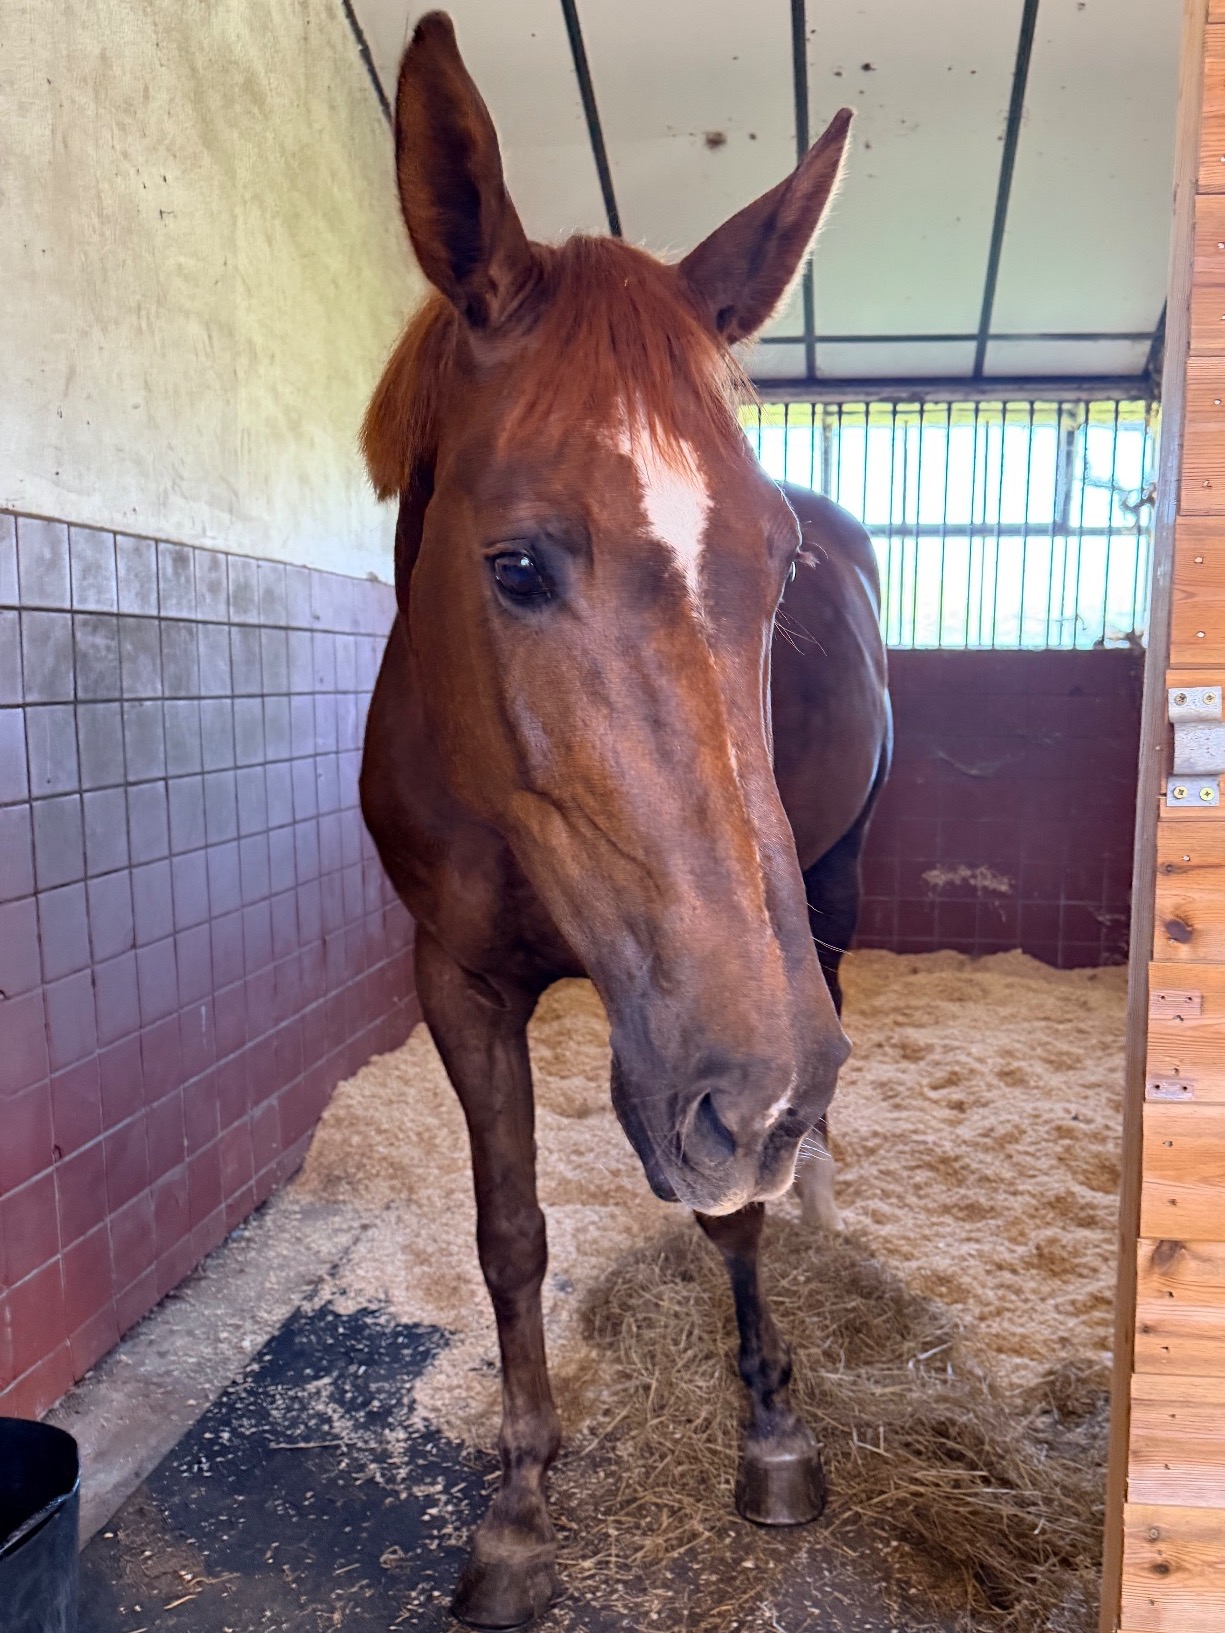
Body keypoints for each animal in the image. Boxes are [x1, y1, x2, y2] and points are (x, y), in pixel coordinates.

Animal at [358, 14, 891, 1627]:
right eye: (517, 564)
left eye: (775, 568)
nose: (769, 1101)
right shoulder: (458, 982)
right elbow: (509, 1232)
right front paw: (520, 1504)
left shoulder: (725, 1036)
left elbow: (733, 1217)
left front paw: (772, 1425)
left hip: (834, 877)